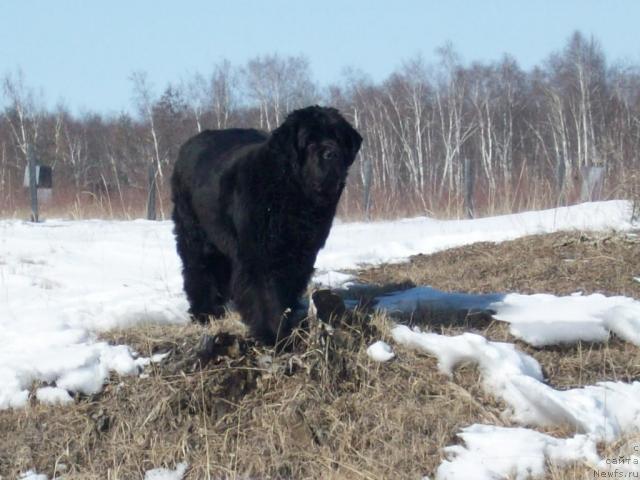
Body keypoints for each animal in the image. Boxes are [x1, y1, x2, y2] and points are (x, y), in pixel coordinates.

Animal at [171, 106, 360, 344]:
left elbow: (288, 286)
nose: (331, 153)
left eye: (338, 138)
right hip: (194, 233)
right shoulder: (258, 254)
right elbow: (264, 294)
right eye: (309, 141)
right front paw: (274, 334)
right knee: (198, 269)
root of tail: (186, 146)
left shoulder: (301, 254)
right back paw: (204, 312)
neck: (291, 191)